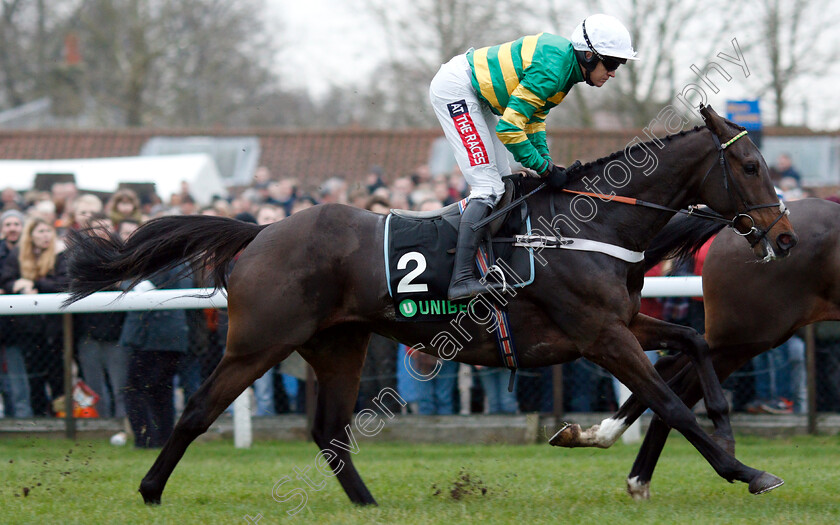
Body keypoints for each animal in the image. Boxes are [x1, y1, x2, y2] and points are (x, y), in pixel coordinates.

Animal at [64, 105, 796, 504]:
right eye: (751, 166)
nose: (786, 236)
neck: (593, 225)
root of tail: (260, 231)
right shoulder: (600, 334)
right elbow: (669, 401)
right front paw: (744, 469)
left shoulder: (616, 324)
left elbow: (693, 347)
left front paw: (722, 429)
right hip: (258, 341)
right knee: (196, 410)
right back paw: (151, 489)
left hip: (339, 344)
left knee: (328, 431)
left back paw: (369, 505)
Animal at [556, 198, 836, 500]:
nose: (786, 240)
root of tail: (740, 225)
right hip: (749, 333)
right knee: (676, 384)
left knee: (670, 369)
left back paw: (622, 459)